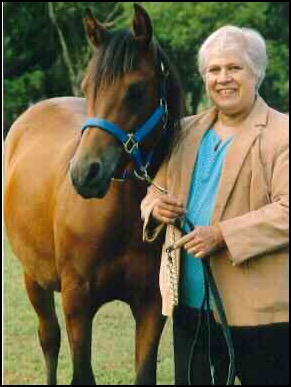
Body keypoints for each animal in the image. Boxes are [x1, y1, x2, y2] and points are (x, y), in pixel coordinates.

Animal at [3, 4, 184, 386]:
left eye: (135, 89)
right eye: (88, 86)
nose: (84, 173)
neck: (121, 216)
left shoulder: (151, 304)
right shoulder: (77, 300)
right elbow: (81, 372)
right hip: (33, 278)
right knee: (49, 338)